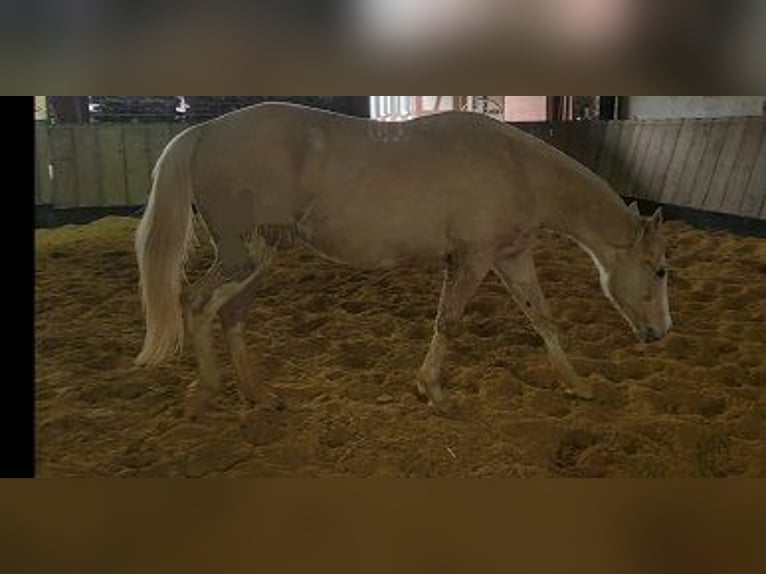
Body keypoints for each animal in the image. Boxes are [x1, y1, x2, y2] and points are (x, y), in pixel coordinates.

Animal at [135, 102, 676, 418]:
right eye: (660, 270)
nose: (661, 332)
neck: (517, 167)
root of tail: (204, 130)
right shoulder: (473, 259)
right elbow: (448, 322)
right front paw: (433, 391)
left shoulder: (512, 256)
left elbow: (543, 318)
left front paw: (577, 385)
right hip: (242, 255)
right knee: (196, 304)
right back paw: (206, 393)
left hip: (258, 255)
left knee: (230, 314)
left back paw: (259, 395)